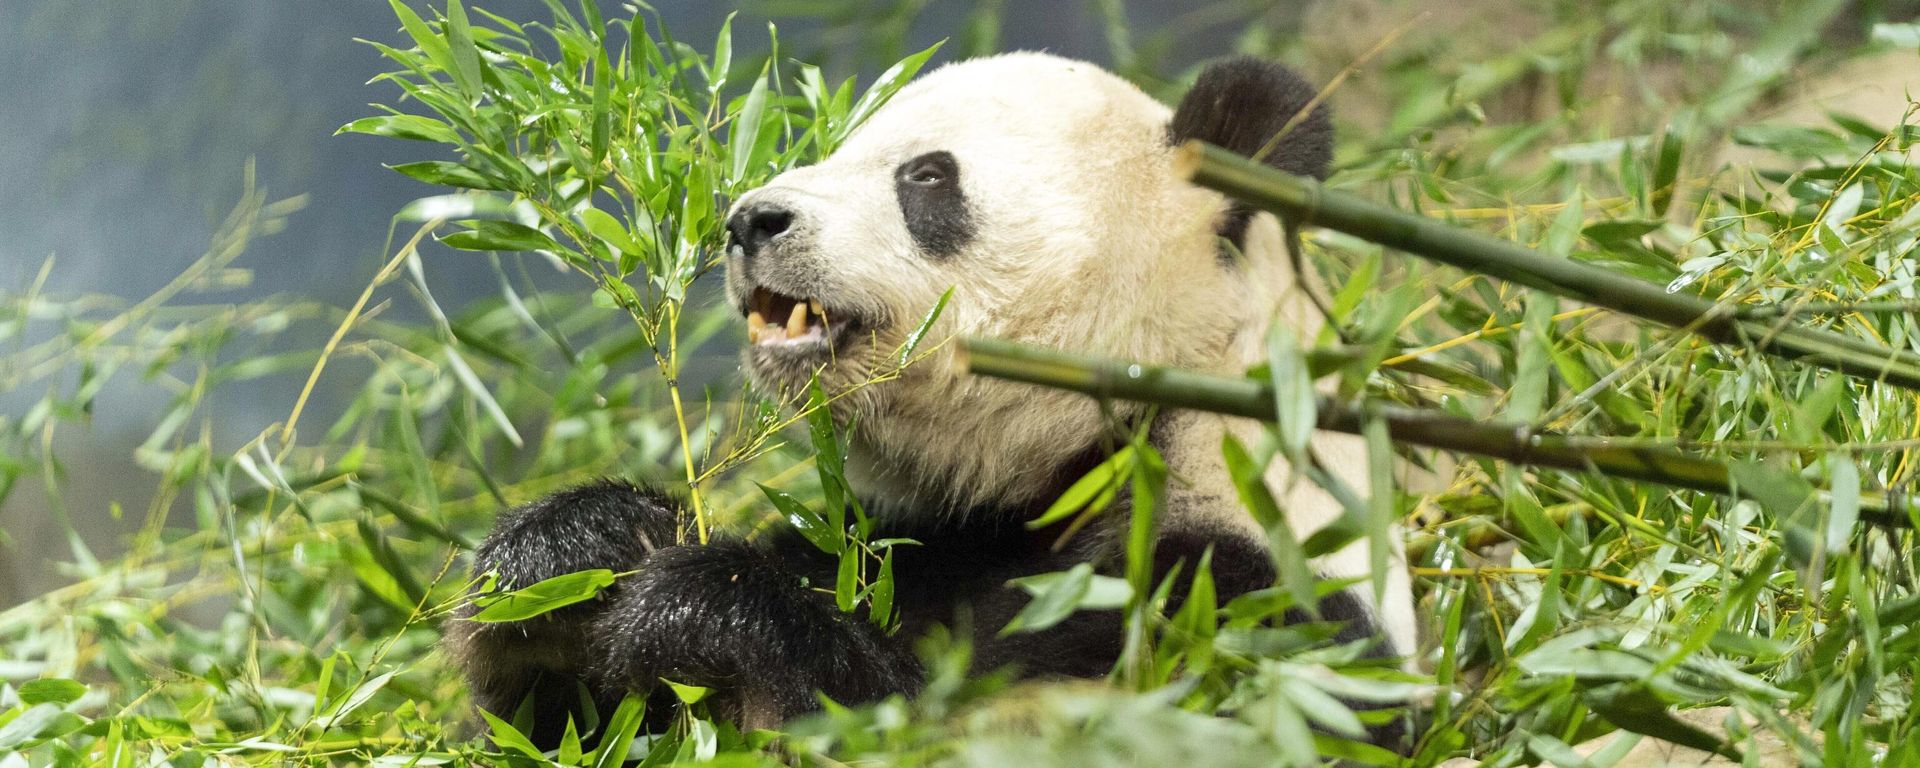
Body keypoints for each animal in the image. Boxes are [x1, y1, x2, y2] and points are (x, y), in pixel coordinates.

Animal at [447, 52, 1418, 750]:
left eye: (925, 176)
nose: (750, 220)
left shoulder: (1239, 604)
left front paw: (699, 613)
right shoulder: (896, 542)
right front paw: (575, 554)